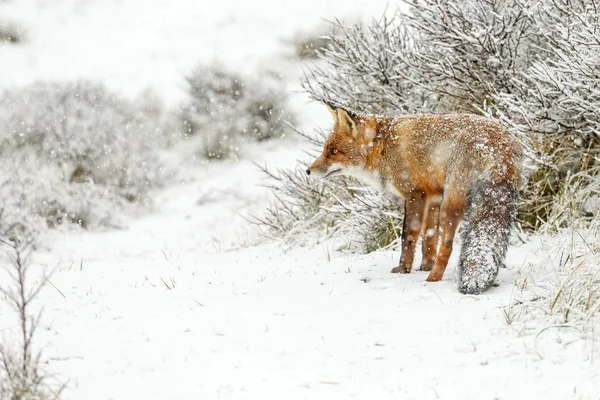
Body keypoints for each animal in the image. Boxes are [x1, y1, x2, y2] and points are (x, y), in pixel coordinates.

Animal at [308, 101, 524, 294]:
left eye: (334, 151)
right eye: (325, 149)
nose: (308, 171)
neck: (383, 145)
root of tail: (498, 143)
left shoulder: (415, 193)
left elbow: (409, 235)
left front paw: (404, 269)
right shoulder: (433, 195)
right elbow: (429, 238)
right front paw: (424, 266)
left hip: (450, 203)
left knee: (448, 246)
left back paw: (432, 280)